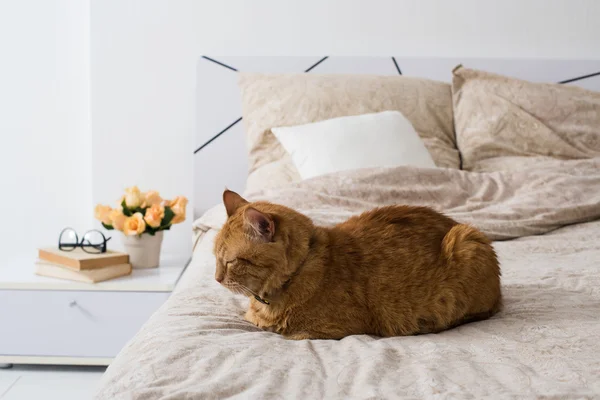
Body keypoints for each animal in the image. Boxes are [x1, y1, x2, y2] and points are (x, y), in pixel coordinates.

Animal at [213, 189, 500, 340]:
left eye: (230, 261)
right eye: (214, 257)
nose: (216, 278)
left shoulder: (326, 332)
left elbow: (291, 334)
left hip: (466, 239)